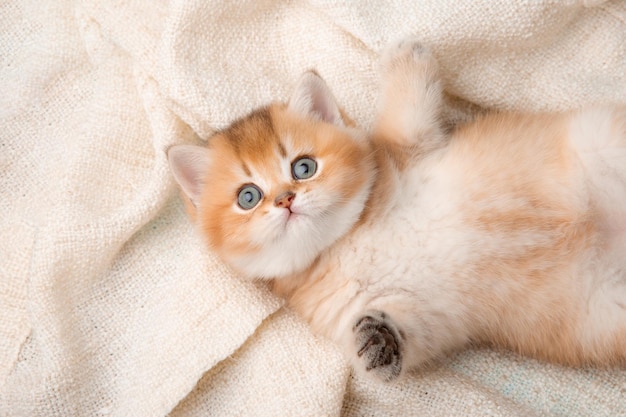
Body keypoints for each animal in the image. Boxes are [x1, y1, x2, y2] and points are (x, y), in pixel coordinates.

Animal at [167, 38, 624, 380]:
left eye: (303, 167)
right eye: (248, 197)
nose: (285, 199)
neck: (345, 241)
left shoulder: (410, 148)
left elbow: (405, 115)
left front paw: (407, 55)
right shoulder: (422, 309)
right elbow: (413, 332)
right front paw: (378, 342)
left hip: (600, 138)